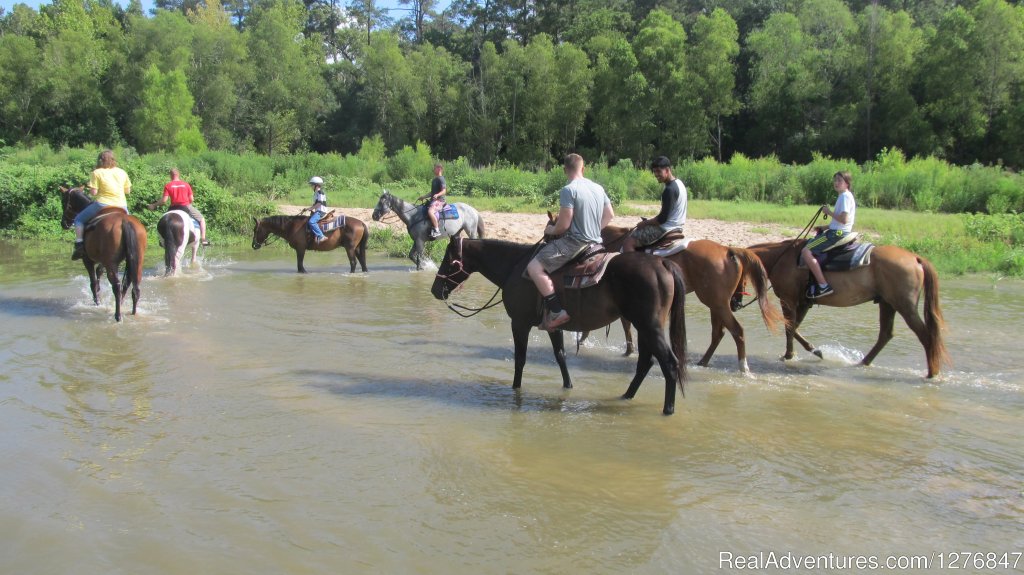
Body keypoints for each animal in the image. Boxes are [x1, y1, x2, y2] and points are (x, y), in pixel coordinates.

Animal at [59, 186, 148, 319]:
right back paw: (131, 311)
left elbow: (93, 283)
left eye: (63, 202)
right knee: (132, 286)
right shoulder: (103, 261)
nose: (63, 223)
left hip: (111, 263)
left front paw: (97, 302)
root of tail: (125, 222)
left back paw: (118, 315)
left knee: (116, 286)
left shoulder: (88, 260)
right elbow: (99, 272)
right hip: (136, 260)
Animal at [598, 224, 778, 372]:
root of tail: (728, 249)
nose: (738, 301)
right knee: (718, 333)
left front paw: (629, 352)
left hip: (716, 303)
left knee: (736, 331)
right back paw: (703, 362)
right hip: (716, 304)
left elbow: (626, 325)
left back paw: (743, 368)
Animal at [745, 237, 950, 376]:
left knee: (926, 336)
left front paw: (789, 356)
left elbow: (789, 328)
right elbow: (794, 328)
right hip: (887, 303)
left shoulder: (789, 299)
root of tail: (915, 258)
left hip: (904, 306)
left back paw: (932, 373)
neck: (780, 258)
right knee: (885, 334)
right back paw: (862, 362)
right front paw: (812, 351)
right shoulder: (802, 303)